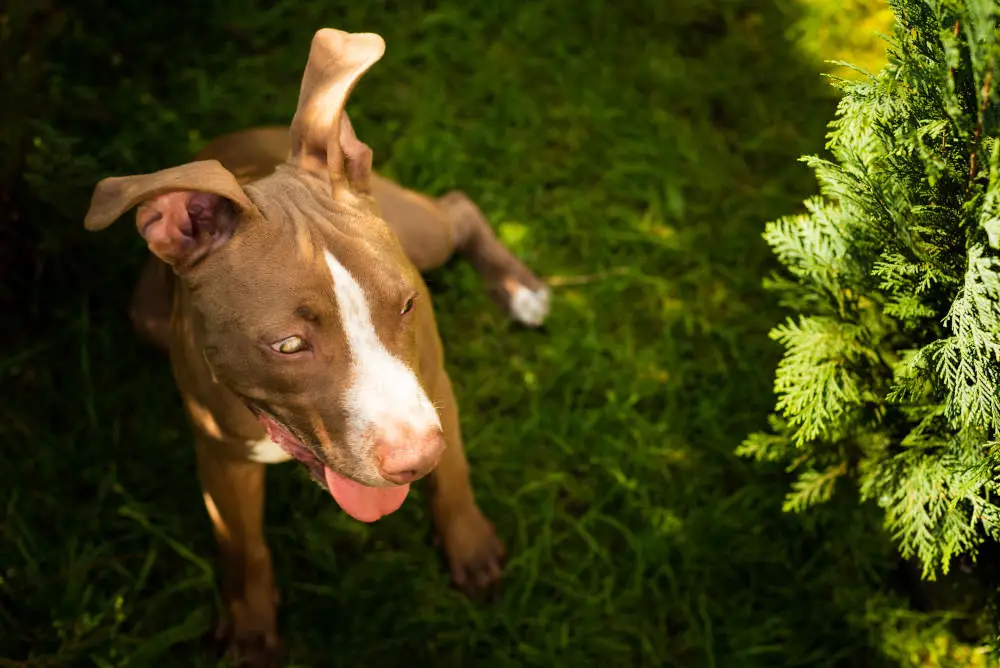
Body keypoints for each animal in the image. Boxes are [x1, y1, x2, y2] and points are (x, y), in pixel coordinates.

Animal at [82, 28, 552, 664]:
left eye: (407, 305)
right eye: (287, 345)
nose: (415, 460)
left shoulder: (435, 385)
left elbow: (455, 472)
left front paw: (470, 546)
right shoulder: (220, 455)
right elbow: (244, 546)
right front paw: (252, 629)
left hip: (421, 230)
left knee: (456, 207)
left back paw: (519, 288)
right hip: (146, 317)